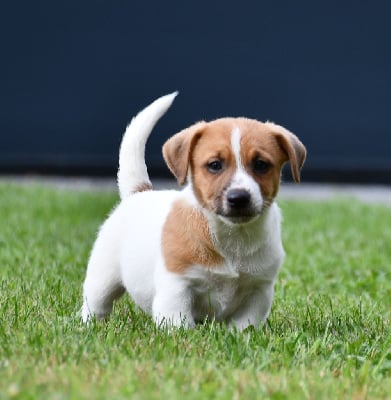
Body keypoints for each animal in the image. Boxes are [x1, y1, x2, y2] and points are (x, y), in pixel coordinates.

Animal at [80, 92, 306, 330]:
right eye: (215, 165)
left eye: (261, 164)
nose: (239, 197)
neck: (231, 237)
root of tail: (139, 192)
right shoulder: (177, 286)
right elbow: (179, 323)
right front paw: (183, 335)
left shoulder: (258, 290)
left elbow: (246, 324)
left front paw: (239, 335)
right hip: (103, 278)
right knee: (95, 304)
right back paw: (90, 325)